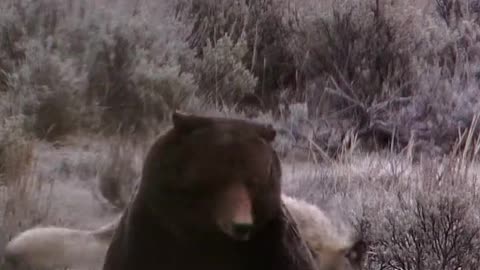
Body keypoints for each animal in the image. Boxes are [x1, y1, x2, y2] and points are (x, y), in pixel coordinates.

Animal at [101, 111, 318, 270]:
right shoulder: (150, 232)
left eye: (254, 181)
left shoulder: (273, 242)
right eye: (218, 179)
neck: (209, 238)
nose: (242, 225)